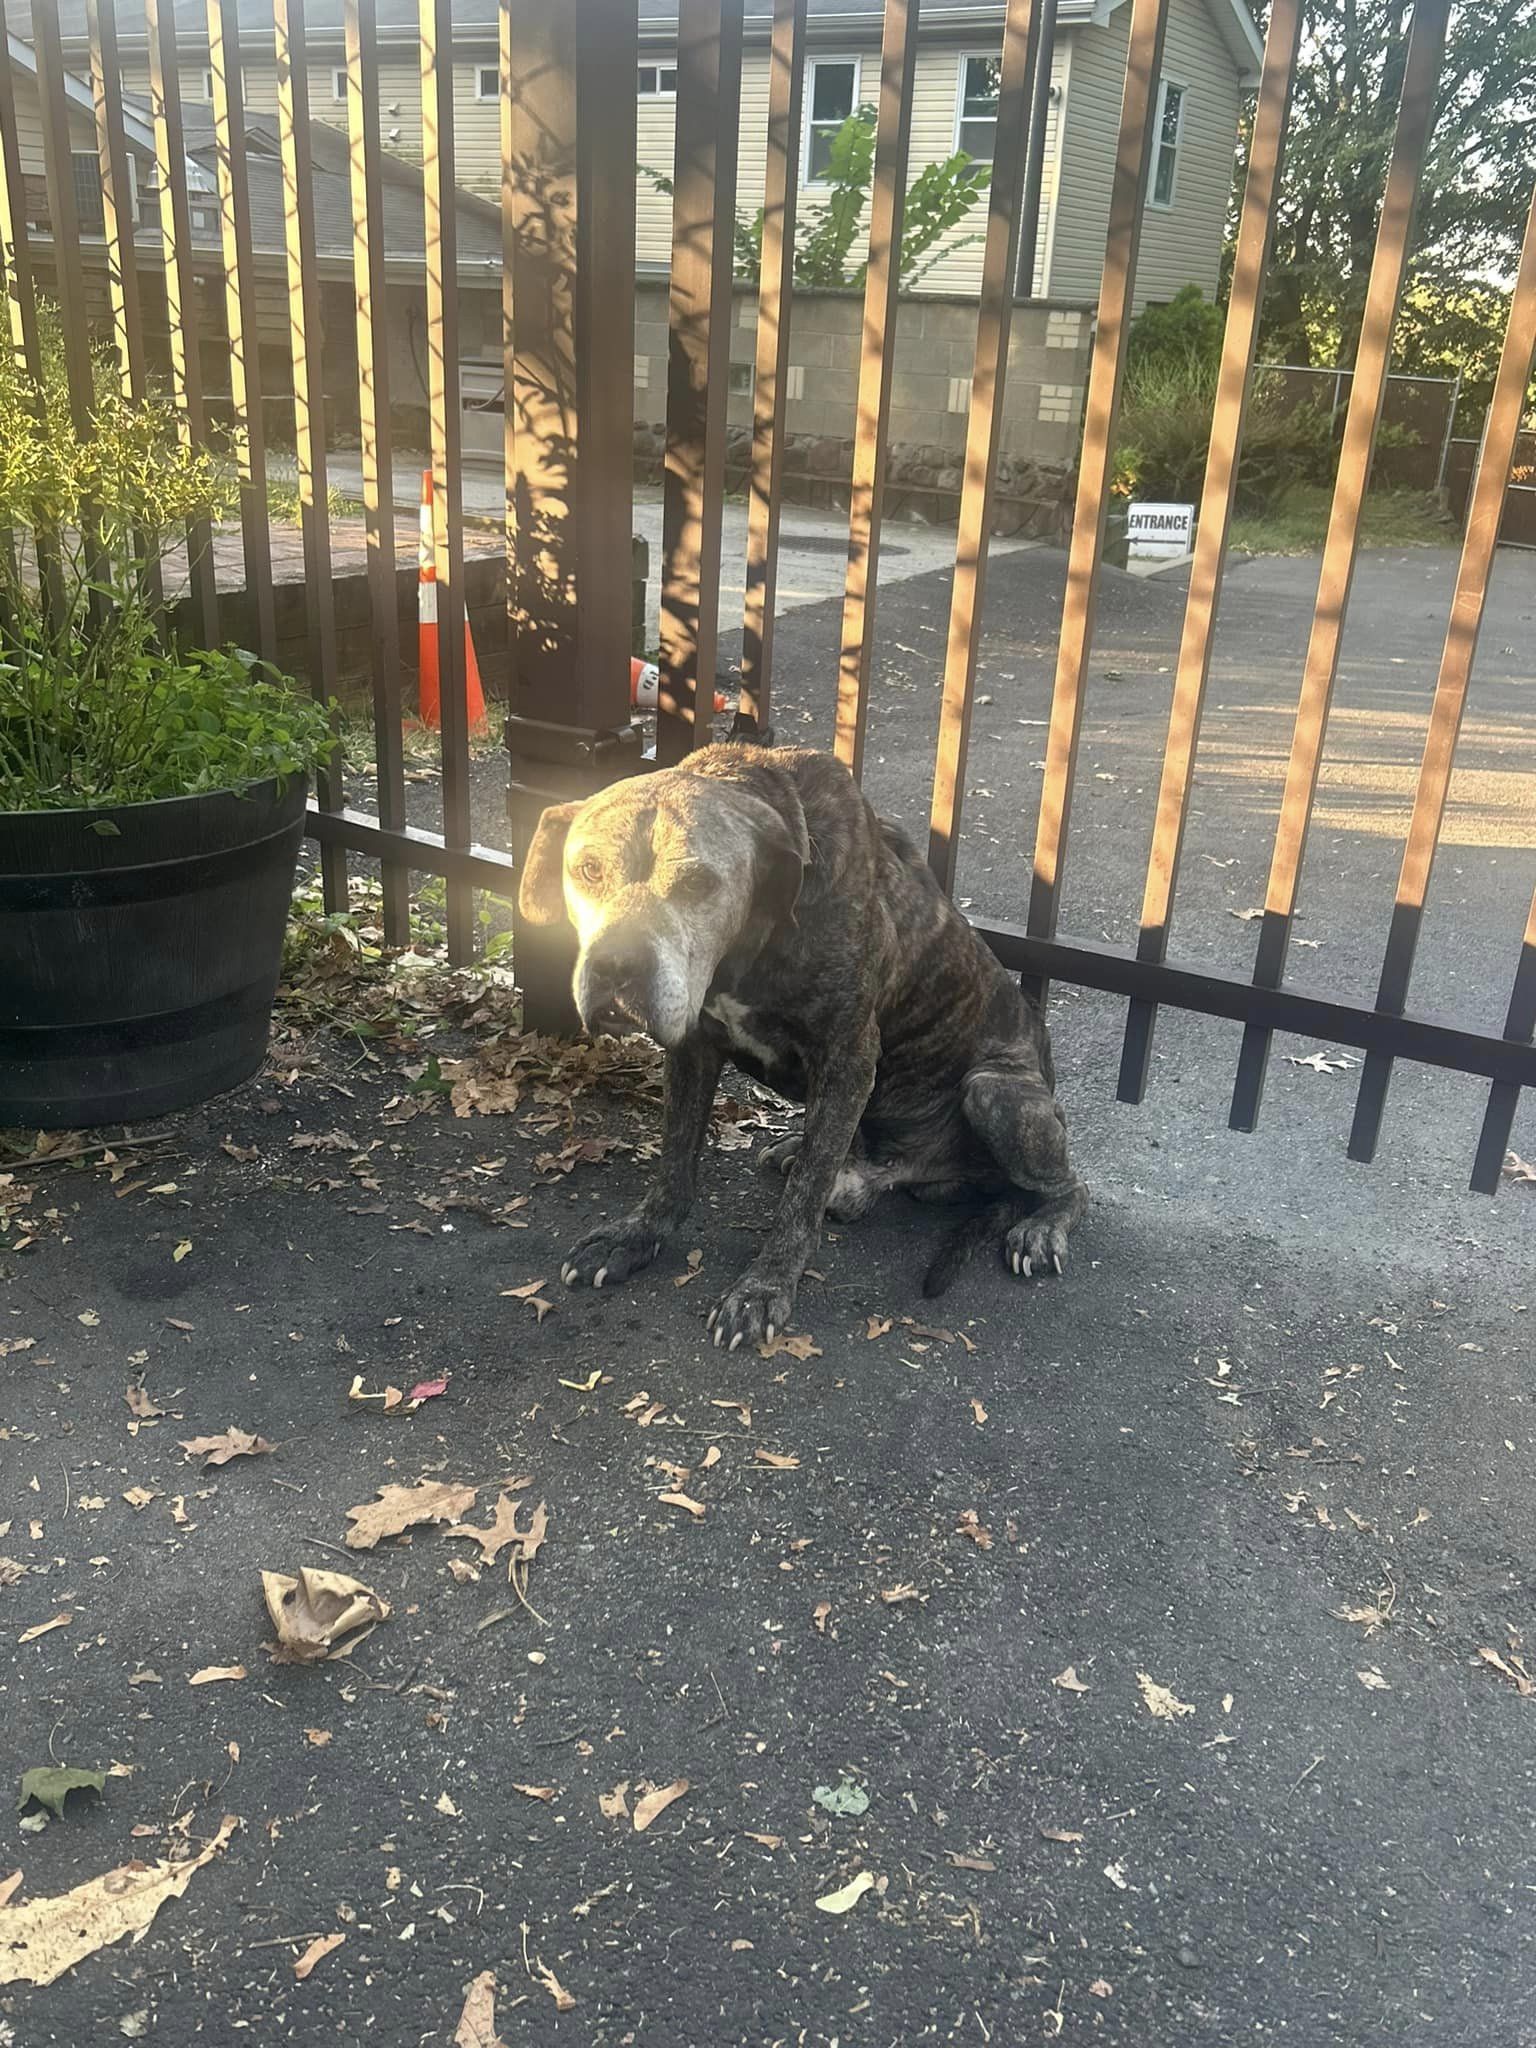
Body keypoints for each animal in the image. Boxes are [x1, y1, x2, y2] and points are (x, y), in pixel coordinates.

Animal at [524, 745, 1089, 1351]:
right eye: (587, 870)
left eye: (699, 884)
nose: (617, 965)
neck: (753, 941)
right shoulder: (693, 1049)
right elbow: (675, 1158)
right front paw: (637, 1234)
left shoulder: (848, 1062)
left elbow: (801, 1200)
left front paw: (763, 1288)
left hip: (995, 1093)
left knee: (1071, 1184)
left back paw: (1040, 1228)